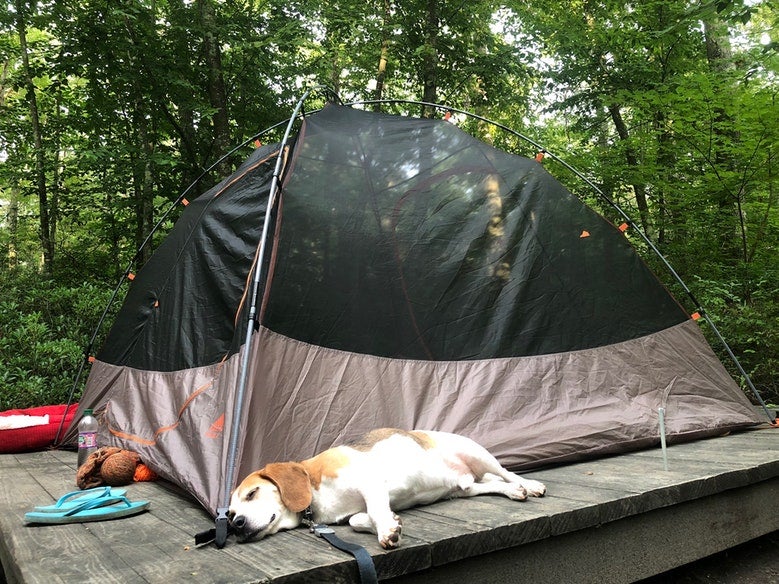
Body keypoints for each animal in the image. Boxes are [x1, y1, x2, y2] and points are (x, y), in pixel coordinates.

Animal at [229, 428, 544, 548]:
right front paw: (388, 523)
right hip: (466, 487)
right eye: (230, 514)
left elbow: (374, 510)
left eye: (252, 493)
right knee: (494, 485)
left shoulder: (369, 482)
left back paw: (529, 484)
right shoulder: (356, 507)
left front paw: (386, 530)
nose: (236, 525)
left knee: (507, 472)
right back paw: (514, 491)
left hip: (477, 453)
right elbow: (358, 519)